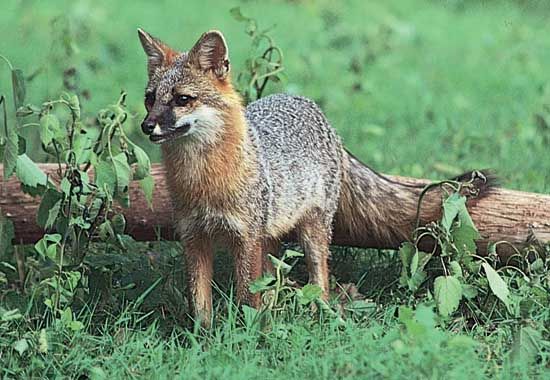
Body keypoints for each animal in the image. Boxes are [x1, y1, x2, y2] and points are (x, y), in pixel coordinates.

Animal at [137, 29, 492, 326]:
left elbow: (248, 298)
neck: (202, 180)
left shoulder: (245, 239)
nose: (146, 126)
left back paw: (315, 312)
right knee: (274, 280)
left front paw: (246, 335)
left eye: (182, 99)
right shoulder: (194, 238)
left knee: (318, 280)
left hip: (312, 233)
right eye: (150, 98)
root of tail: (309, 104)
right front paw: (204, 340)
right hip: (272, 237)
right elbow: (200, 305)